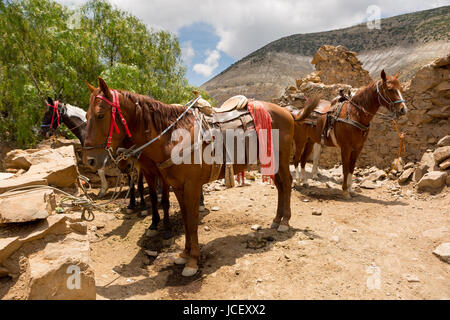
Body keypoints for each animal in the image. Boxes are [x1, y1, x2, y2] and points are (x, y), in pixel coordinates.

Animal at [83, 78, 296, 278]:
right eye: (86, 116)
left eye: (100, 115)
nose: (90, 160)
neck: (173, 137)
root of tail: (286, 113)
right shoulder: (177, 186)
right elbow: (185, 220)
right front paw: (184, 255)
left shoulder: (192, 186)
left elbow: (192, 223)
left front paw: (193, 261)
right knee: (280, 187)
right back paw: (276, 220)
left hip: (282, 161)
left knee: (286, 185)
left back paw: (284, 222)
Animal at [292, 70, 408, 198]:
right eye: (390, 89)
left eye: (400, 88)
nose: (403, 109)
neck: (355, 114)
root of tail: (300, 112)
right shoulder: (345, 147)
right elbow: (345, 169)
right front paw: (345, 191)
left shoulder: (358, 148)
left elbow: (352, 168)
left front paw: (351, 189)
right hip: (300, 140)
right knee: (296, 159)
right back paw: (297, 181)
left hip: (310, 141)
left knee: (303, 160)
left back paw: (305, 182)